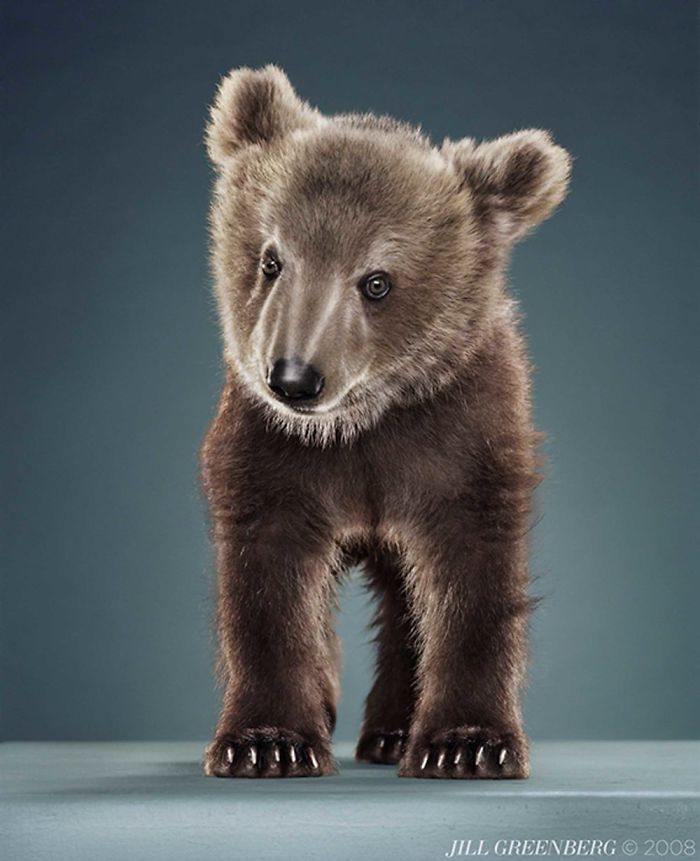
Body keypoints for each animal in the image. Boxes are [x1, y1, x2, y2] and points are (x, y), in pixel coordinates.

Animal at [200, 65, 570, 779]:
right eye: (271, 259)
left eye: (376, 281)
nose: (294, 378)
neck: (361, 424)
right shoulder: (270, 454)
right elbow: (267, 588)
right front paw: (267, 742)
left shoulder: (458, 442)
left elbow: (470, 581)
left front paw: (468, 743)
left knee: (406, 605)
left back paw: (395, 732)